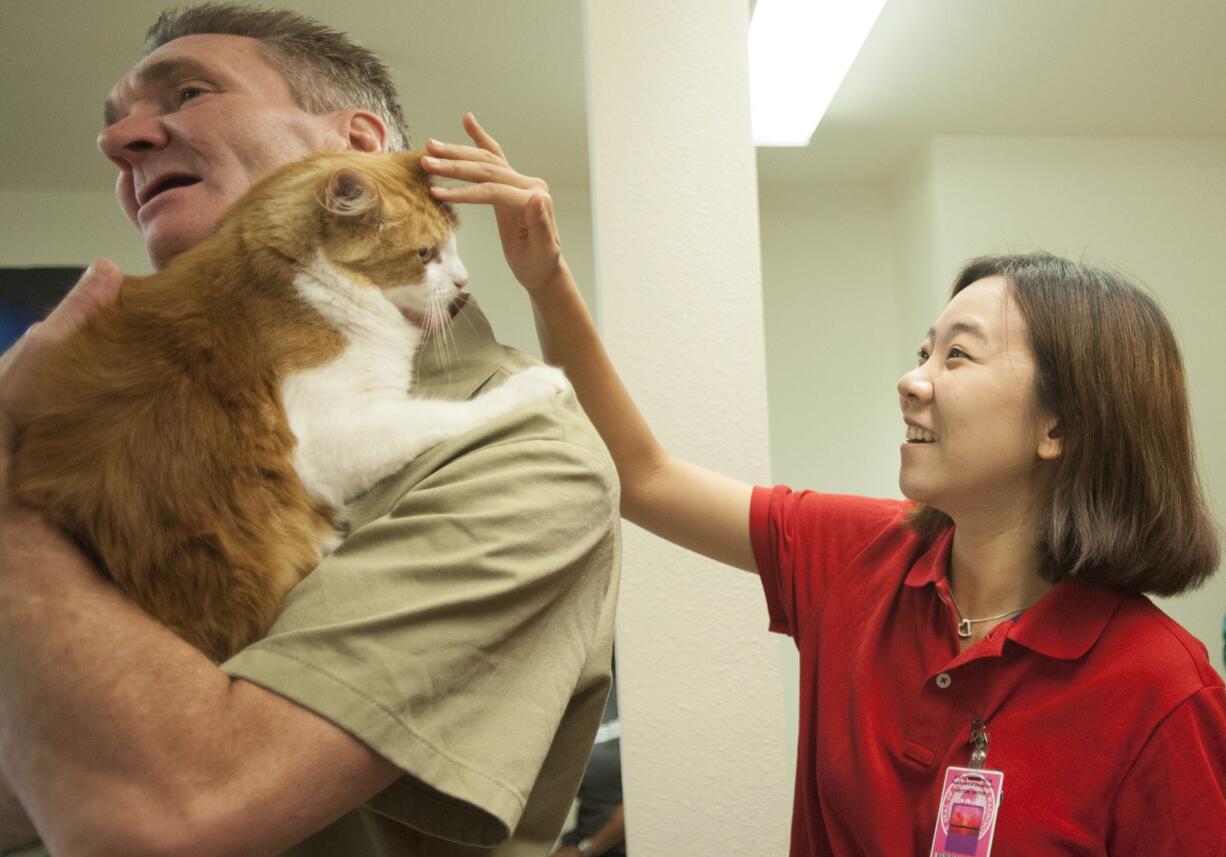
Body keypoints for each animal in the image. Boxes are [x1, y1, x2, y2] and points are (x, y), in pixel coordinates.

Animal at [11, 148, 566, 662]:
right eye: (426, 252)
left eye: (452, 243)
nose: (462, 281)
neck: (297, 286)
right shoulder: (327, 438)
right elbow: (447, 413)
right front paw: (538, 382)